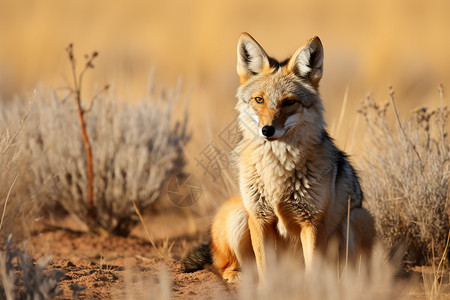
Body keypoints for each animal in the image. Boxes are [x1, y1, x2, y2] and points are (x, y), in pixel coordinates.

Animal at [184, 32, 376, 284]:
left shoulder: (311, 221)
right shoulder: (259, 217)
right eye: (259, 100)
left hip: (357, 217)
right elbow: (265, 269)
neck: (276, 172)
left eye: (289, 102)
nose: (267, 130)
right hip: (239, 215)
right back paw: (240, 277)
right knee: (224, 267)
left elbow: (313, 271)